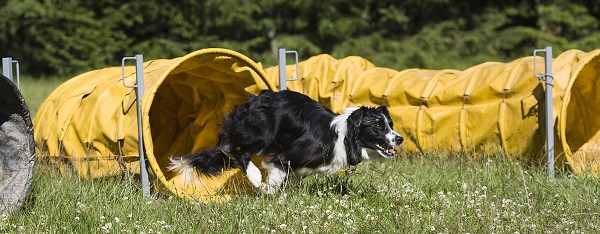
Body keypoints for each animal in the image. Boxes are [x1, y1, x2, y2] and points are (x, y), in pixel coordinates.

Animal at [169, 89, 404, 194]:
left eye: (390, 123)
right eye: (377, 126)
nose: (399, 138)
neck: (345, 137)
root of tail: (255, 99)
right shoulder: (285, 156)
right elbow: (275, 178)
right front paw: (266, 191)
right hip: (261, 134)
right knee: (235, 149)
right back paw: (254, 177)